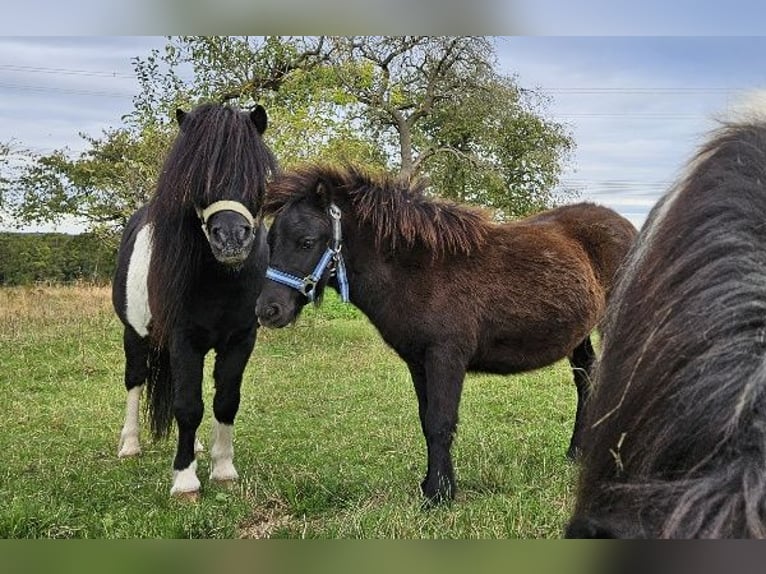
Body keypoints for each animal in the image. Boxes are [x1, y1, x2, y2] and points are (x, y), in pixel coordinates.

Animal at [111, 102, 280, 500]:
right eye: (197, 180)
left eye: (257, 174)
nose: (231, 239)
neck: (221, 281)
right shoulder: (182, 339)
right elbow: (187, 405)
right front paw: (185, 479)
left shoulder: (240, 339)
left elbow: (225, 400)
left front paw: (224, 468)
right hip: (134, 334)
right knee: (135, 380)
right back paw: (130, 445)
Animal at [256, 163, 636, 504]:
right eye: (270, 240)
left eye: (306, 241)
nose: (267, 311)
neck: (420, 270)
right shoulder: (418, 362)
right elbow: (427, 422)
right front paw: (431, 485)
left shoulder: (446, 357)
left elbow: (441, 422)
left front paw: (439, 495)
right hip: (579, 335)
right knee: (586, 381)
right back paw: (577, 453)